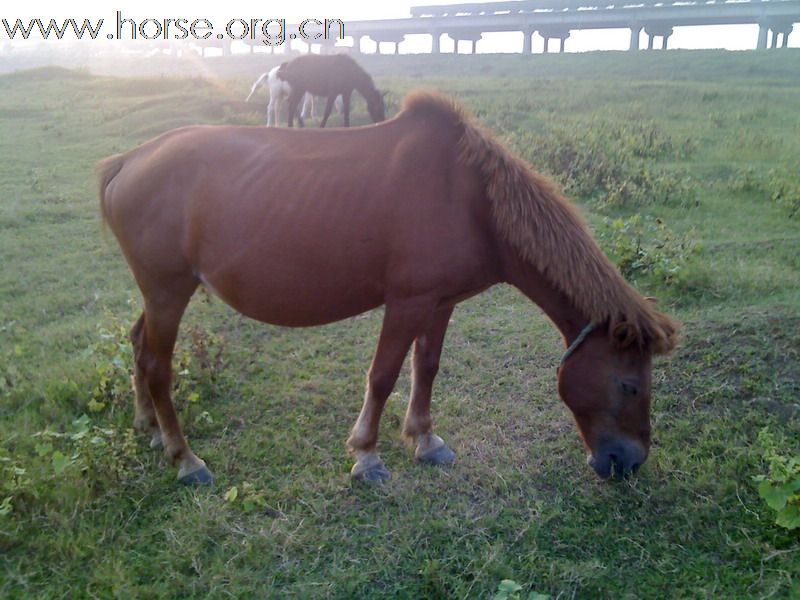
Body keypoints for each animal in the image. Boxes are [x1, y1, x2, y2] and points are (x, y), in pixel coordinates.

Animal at [97, 91, 680, 486]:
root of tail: (128, 160)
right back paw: (184, 458)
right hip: (168, 292)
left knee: (137, 345)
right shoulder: (406, 303)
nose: (628, 463)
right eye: (630, 385)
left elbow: (427, 368)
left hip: (158, 294)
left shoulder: (441, 303)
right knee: (157, 366)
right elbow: (382, 376)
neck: (469, 198)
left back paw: (150, 427)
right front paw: (367, 454)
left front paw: (425, 440)